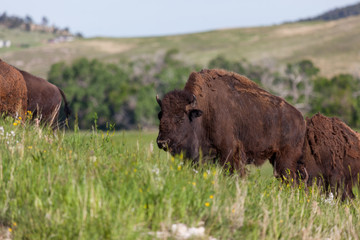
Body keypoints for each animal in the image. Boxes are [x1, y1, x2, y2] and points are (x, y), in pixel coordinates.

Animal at [156, 68, 306, 177]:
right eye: (160, 116)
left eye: (180, 118)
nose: (162, 142)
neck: (204, 111)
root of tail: (301, 118)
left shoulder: (228, 152)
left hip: (285, 158)